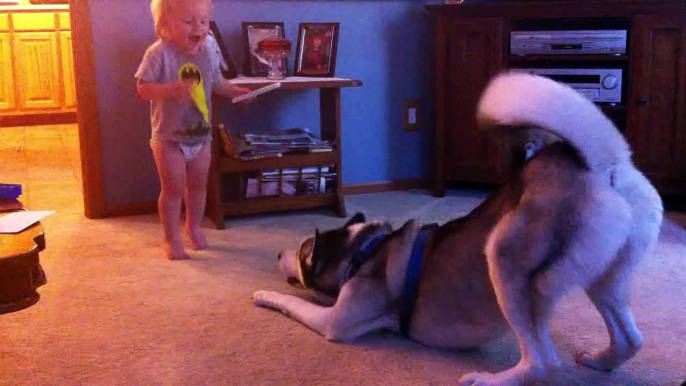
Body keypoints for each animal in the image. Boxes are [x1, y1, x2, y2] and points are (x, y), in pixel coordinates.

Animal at [254, 73, 668, 386]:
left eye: (303, 250)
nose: (276, 253)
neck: (365, 250)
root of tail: (602, 166)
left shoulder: (335, 322)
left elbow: (294, 302)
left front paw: (263, 295)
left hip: (503, 255)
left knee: (542, 362)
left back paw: (489, 380)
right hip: (606, 276)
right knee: (631, 338)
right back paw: (601, 362)